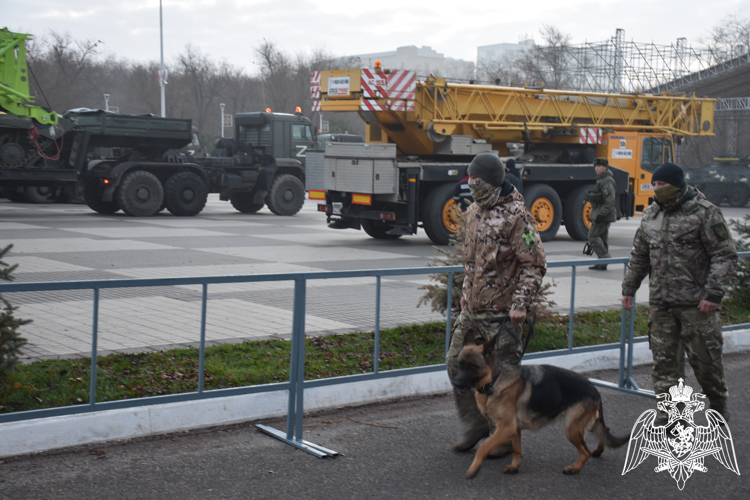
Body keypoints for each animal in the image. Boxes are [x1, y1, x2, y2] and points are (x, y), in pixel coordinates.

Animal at [456, 330, 632, 478]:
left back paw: (574, 468)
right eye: (459, 364)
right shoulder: (514, 429)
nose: (456, 383)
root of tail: (595, 390)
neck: (495, 380)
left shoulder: (506, 428)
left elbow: (484, 446)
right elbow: (517, 450)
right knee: (605, 429)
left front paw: (474, 468)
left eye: (472, 366)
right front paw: (514, 466)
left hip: (571, 428)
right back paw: (598, 450)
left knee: (585, 451)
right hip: (582, 424)